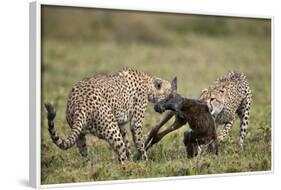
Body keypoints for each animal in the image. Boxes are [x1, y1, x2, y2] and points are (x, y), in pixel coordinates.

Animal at [43, 68, 175, 163]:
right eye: (170, 95)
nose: (173, 105)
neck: (148, 83)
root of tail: (79, 103)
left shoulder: (120, 124)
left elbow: (127, 143)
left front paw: (133, 160)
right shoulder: (135, 123)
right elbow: (139, 143)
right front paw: (145, 163)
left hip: (81, 133)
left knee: (84, 152)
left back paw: (91, 168)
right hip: (111, 129)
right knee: (121, 154)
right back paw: (127, 168)